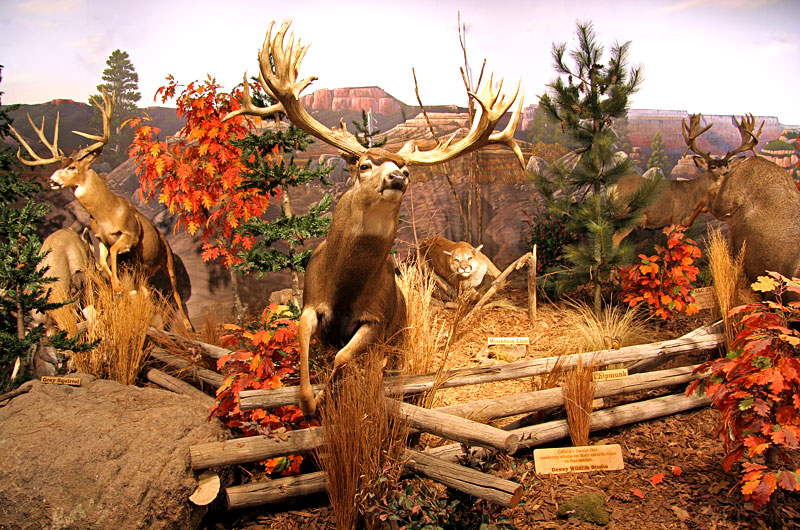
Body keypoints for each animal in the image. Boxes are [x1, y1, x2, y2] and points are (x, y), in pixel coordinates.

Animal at [9, 90, 194, 330]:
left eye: (72, 167)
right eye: (60, 166)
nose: (52, 180)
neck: (107, 214)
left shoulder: (131, 234)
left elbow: (115, 251)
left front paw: (119, 288)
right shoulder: (100, 239)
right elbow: (104, 260)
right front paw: (120, 289)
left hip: (168, 260)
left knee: (177, 293)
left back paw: (188, 326)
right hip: (144, 271)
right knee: (148, 292)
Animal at [225, 20, 524, 414]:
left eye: (407, 170)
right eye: (364, 165)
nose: (397, 177)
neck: (344, 286)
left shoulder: (375, 319)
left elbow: (343, 358)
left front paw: (324, 399)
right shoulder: (310, 301)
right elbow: (303, 335)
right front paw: (307, 399)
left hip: (400, 335)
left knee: (389, 362)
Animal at [680, 114, 800, 282]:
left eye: (725, 166)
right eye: (712, 166)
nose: (723, 173)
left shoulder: (723, 205)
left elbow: (705, 198)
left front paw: (685, 222)